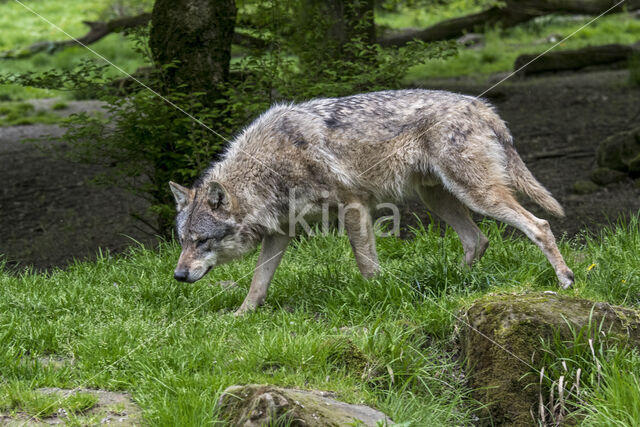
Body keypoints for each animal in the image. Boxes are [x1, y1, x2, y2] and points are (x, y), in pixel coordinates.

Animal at [170, 89, 576, 314]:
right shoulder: (280, 231)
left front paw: (376, 296)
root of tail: (484, 107)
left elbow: (366, 265)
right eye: (183, 242)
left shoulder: (354, 206)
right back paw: (453, 284)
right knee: (478, 240)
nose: (178, 275)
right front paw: (241, 315)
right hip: (439, 199)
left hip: (478, 195)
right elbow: (258, 283)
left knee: (539, 225)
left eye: (202, 241)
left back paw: (565, 280)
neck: (268, 166)